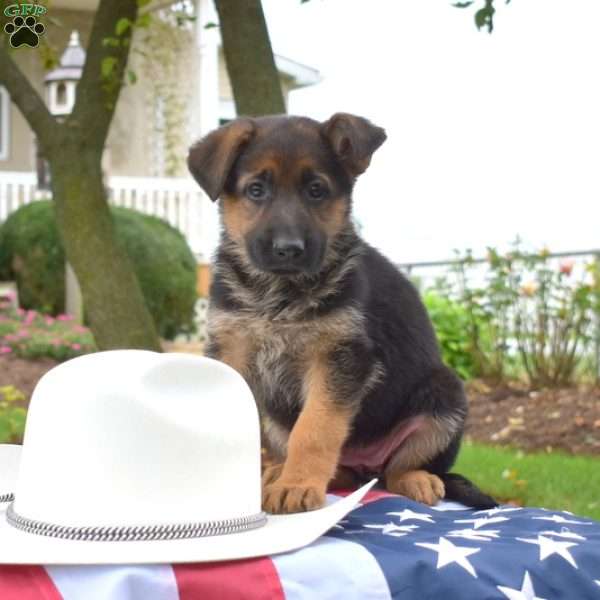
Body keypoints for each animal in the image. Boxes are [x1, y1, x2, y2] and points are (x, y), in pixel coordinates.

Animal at [189, 113, 496, 516]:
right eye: (256, 190)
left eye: (316, 190)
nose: (288, 249)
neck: (278, 294)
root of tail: (366, 465)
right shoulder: (232, 351)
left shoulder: (340, 358)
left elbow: (315, 428)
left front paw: (297, 485)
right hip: (277, 421)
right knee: (343, 472)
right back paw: (280, 472)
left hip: (446, 396)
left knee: (398, 470)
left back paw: (416, 479)